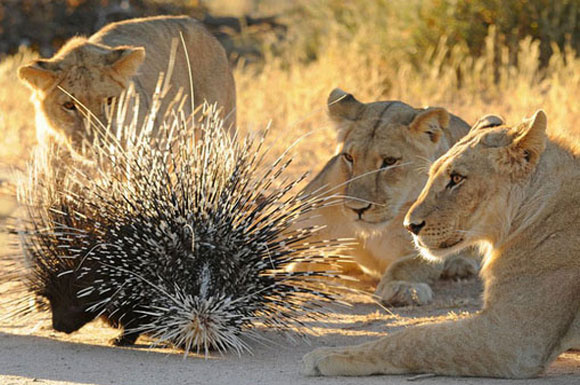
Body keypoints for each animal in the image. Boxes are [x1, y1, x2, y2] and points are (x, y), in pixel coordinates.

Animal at [296, 88, 478, 304]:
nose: (357, 209)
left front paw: (402, 288)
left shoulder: (426, 245)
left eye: (390, 161)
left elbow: (406, 266)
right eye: (349, 157)